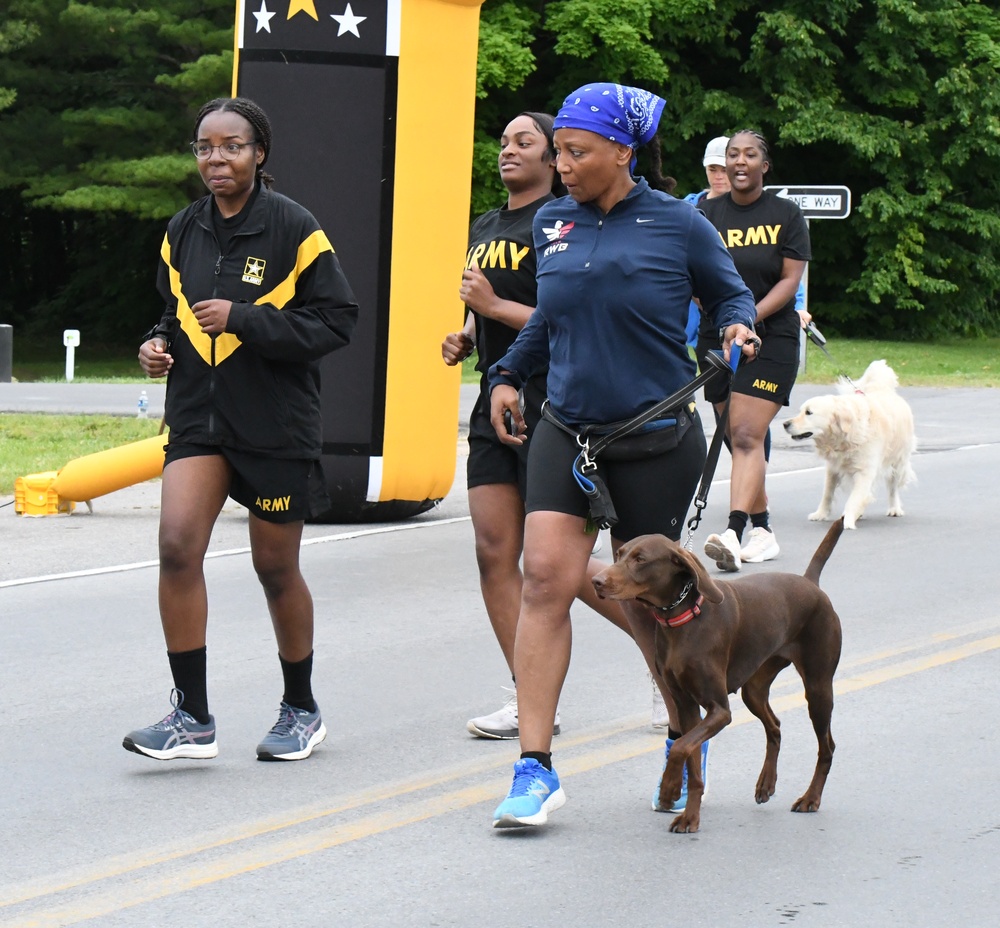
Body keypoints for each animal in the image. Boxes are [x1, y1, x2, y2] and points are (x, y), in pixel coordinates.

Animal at [592, 520, 844, 832]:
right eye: (619, 554)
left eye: (640, 559)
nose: (596, 581)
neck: (682, 619)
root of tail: (810, 583)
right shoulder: (686, 706)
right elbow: (689, 758)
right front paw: (689, 814)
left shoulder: (719, 710)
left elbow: (681, 747)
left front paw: (670, 789)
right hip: (754, 690)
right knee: (774, 726)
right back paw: (766, 783)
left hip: (818, 688)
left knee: (827, 747)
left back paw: (811, 798)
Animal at [784, 360, 916, 528]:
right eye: (801, 411)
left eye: (809, 412)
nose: (785, 424)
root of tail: (884, 390)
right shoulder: (833, 468)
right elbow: (827, 493)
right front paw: (820, 514)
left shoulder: (865, 471)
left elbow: (854, 499)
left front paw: (847, 521)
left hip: (897, 462)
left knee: (893, 487)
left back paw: (894, 509)